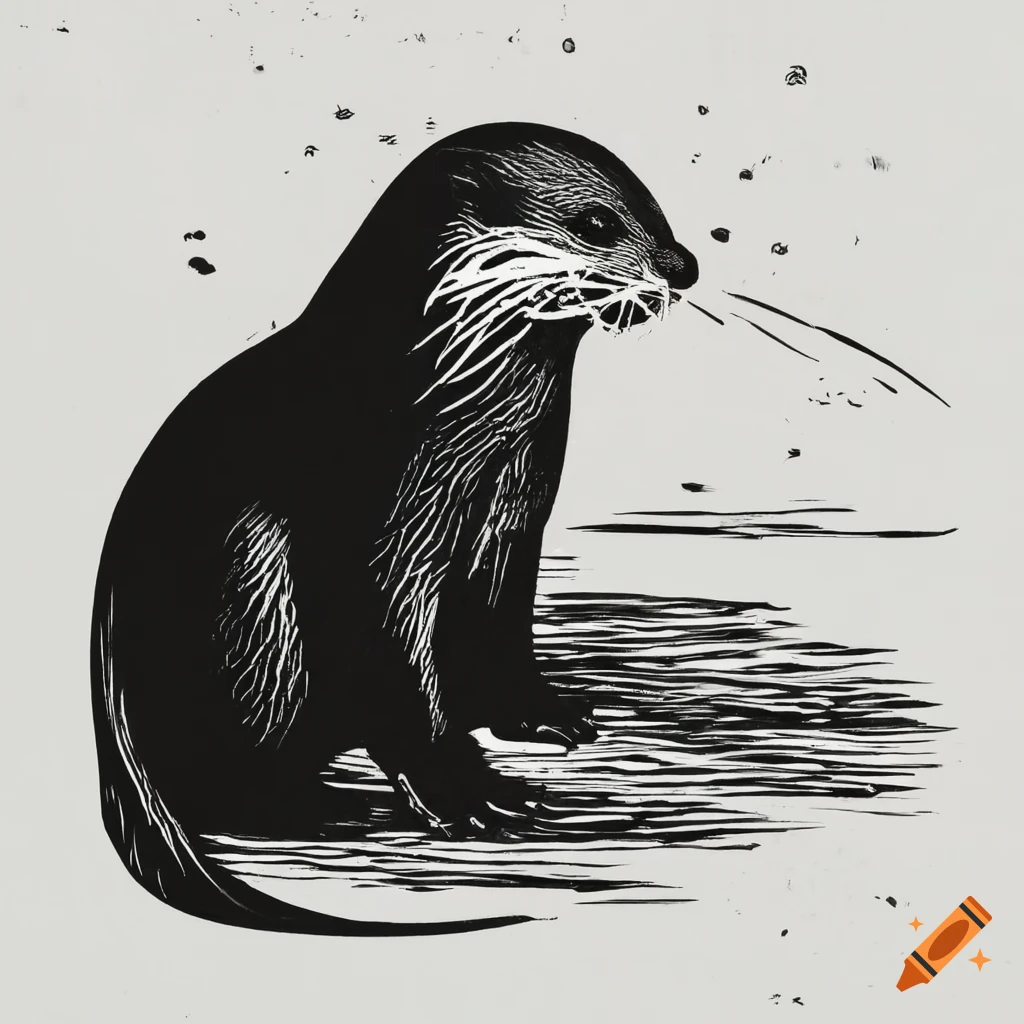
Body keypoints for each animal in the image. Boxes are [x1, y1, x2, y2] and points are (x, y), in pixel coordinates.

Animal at [91, 122, 698, 935]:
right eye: (599, 222)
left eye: (656, 208)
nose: (685, 266)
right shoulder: (376, 527)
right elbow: (392, 663)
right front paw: (466, 792)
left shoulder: (513, 523)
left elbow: (497, 633)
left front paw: (541, 714)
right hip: (249, 598)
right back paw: (325, 803)